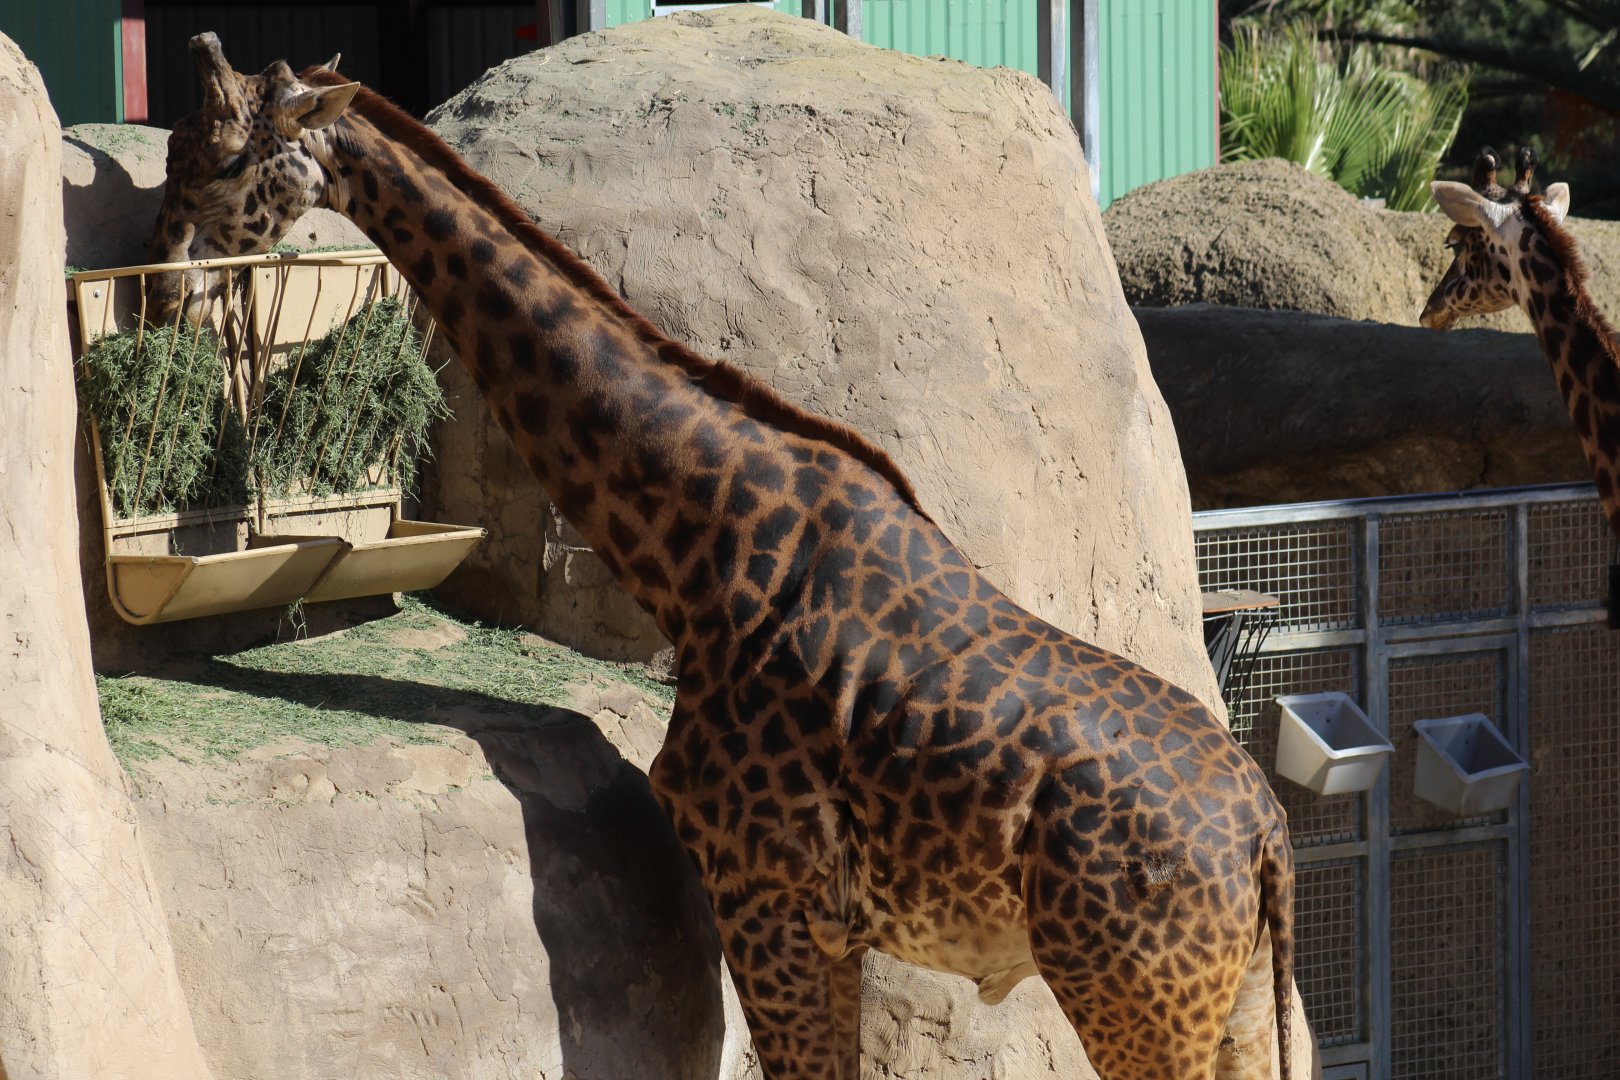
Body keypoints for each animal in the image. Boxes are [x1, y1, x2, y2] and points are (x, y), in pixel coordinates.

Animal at [145, 34, 1301, 1079]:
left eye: (221, 161)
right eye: (174, 153)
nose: (158, 288)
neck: (706, 553)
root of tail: (1264, 840)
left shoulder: (763, 889)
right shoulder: (816, 919)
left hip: (1132, 995)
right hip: (1233, 1004)